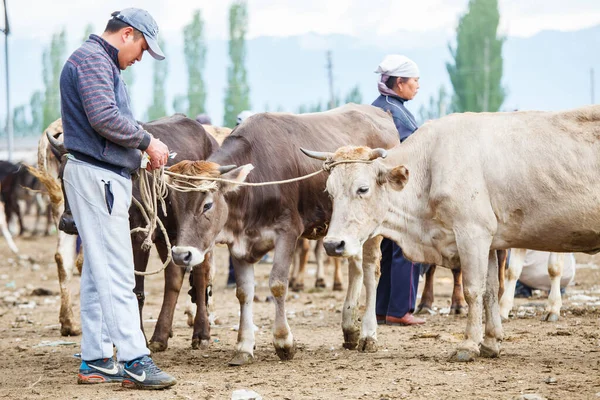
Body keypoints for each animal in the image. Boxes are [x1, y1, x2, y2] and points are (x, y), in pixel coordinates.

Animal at [165, 104, 398, 366]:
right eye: (174, 204)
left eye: (207, 204)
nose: (181, 254)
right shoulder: (239, 243)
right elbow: (244, 292)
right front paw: (244, 346)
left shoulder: (287, 232)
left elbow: (277, 285)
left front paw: (283, 341)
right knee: (355, 267)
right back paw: (349, 329)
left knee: (370, 271)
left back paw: (368, 334)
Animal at [302, 105, 600, 362]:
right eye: (330, 191)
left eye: (363, 188)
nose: (333, 244)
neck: (431, 165)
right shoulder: (488, 241)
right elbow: (490, 290)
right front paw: (491, 342)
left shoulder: (472, 233)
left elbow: (472, 290)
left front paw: (468, 344)